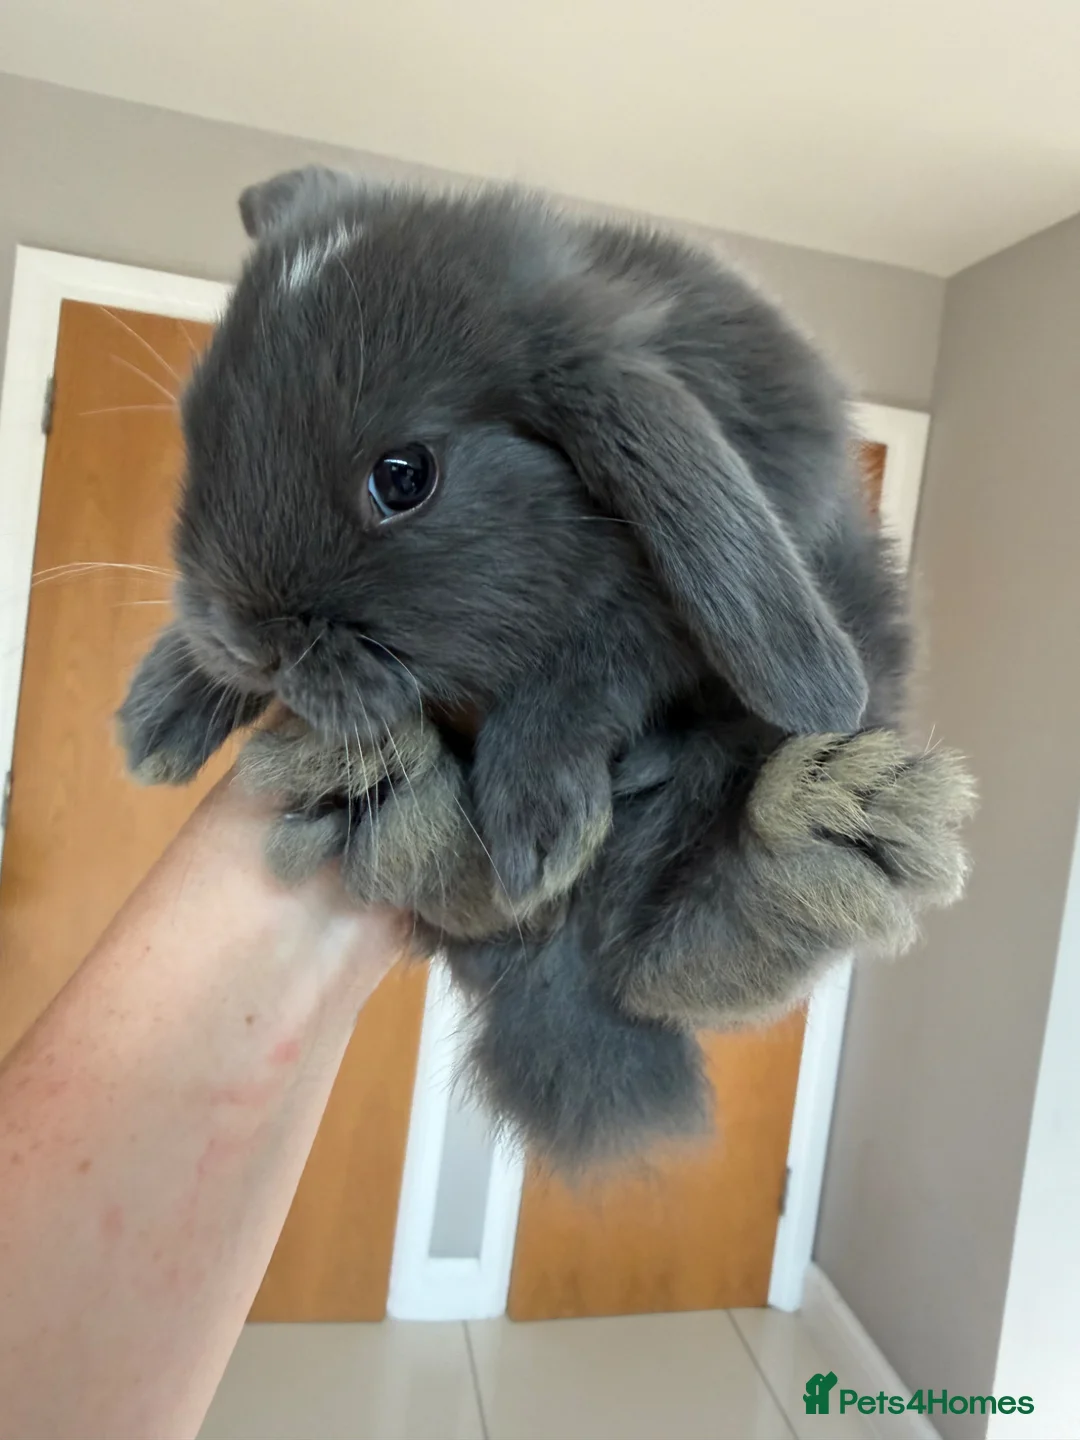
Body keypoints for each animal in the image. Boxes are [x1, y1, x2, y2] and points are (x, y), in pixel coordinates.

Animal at [119, 166, 974, 1165]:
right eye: (195, 426)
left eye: (404, 475)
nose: (247, 640)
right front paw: (161, 711)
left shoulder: (649, 620)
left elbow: (587, 671)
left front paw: (536, 821)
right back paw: (405, 816)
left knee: (672, 958)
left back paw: (815, 848)